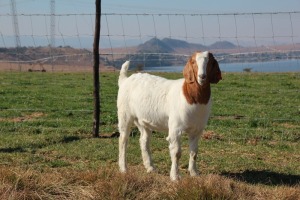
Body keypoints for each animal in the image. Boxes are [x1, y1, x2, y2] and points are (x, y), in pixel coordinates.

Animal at [117, 50, 223, 180]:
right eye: (193, 61)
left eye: (211, 61)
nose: (202, 76)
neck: (193, 98)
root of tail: (125, 80)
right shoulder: (175, 128)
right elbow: (176, 152)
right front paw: (175, 177)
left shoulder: (197, 130)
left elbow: (194, 152)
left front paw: (194, 173)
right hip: (124, 114)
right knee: (123, 139)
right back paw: (123, 169)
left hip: (142, 120)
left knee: (144, 140)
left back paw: (150, 167)